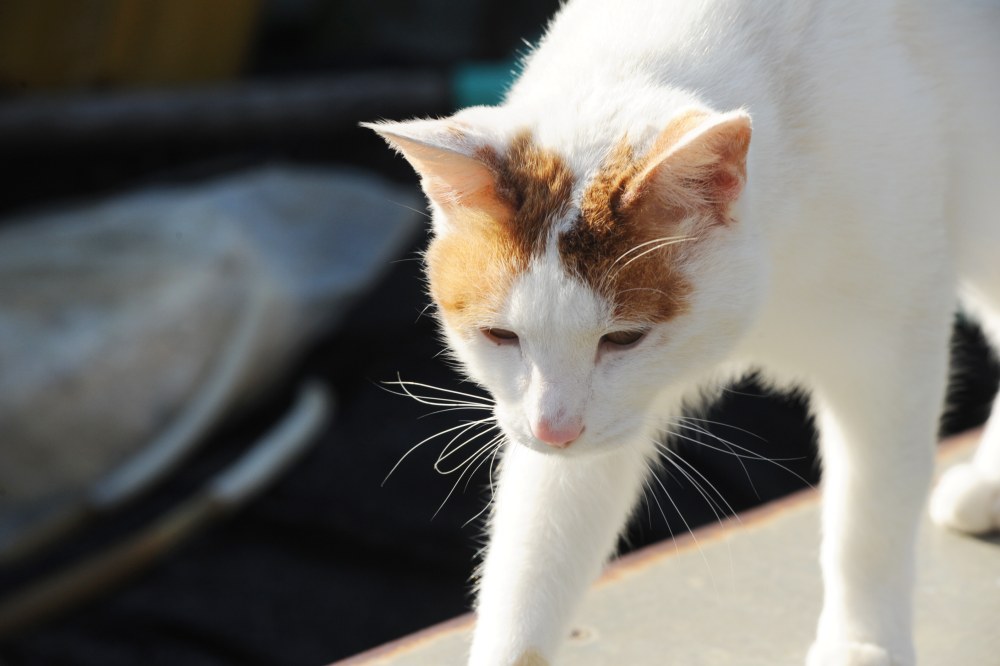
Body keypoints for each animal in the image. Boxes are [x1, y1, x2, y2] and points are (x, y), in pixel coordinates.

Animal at [368, 2, 1000, 660]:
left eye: (624, 338)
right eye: (500, 336)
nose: (554, 430)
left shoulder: (889, 350)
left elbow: (871, 515)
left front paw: (862, 642)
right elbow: (535, 555)